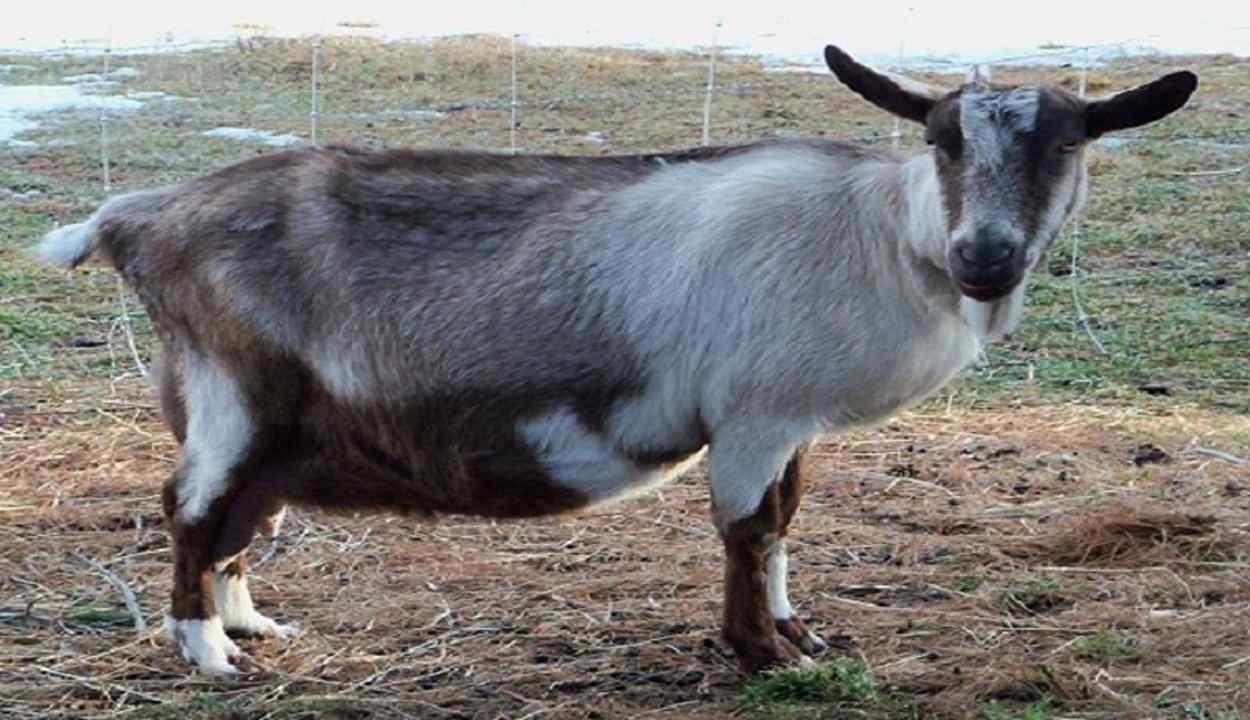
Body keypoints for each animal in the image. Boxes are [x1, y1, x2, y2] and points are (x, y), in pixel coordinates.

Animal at [35, 45, 1196, 675]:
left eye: (1066, 143)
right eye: (943, 141)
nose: (984, 257)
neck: (878, 234)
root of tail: (139, 219)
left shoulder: (789, 423)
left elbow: (784, 523)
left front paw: (797, 630)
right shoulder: (752, 414)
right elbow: (745, 529)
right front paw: (760, 653)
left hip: (253, 417)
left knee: (240, 518)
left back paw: (250, 623)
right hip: (235, 394)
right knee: (190, 511)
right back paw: (210, 653)